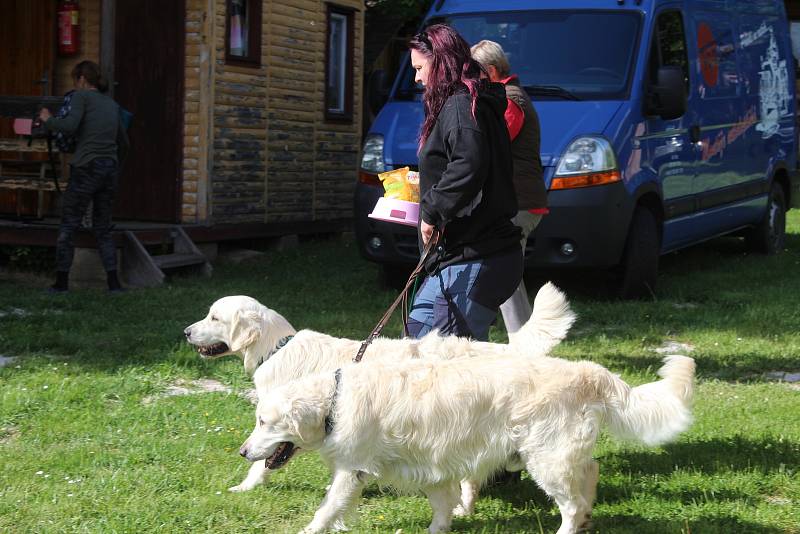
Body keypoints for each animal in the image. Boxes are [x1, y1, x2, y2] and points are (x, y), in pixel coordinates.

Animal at [186, 282, 576, 504]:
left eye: (214, 317)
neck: (277, 347)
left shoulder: (283, 425)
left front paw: (246, 487)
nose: (187, 331)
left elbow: (263, 460)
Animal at [241, 354, 696, 532]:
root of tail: (589, 371)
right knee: (591, 472)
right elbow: (442, 503)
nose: (243, 452)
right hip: (562, 453)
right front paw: (440, 527)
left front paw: (309, 530)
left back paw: (569, 527)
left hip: (545, 459)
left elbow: (328, 507)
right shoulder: (428, 464)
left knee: (572, 502)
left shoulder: (352, 470)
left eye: (264, 422)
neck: (335, 400)